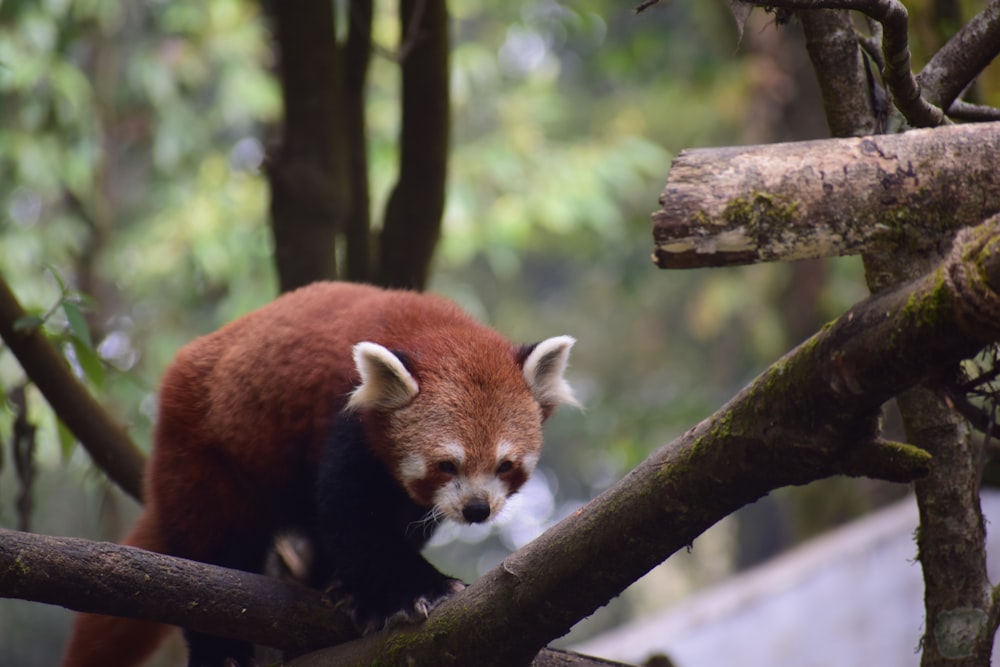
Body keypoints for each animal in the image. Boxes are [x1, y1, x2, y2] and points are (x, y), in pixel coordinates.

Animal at [60, 282, 580, 667]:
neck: (433, 329)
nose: (476, 510)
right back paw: (221, 650)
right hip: (202, 449)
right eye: (446, 465)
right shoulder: (345, 418)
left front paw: (362, 593)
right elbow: (352, 515)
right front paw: (418, 588)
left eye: (504, 465)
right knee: (210, 545)